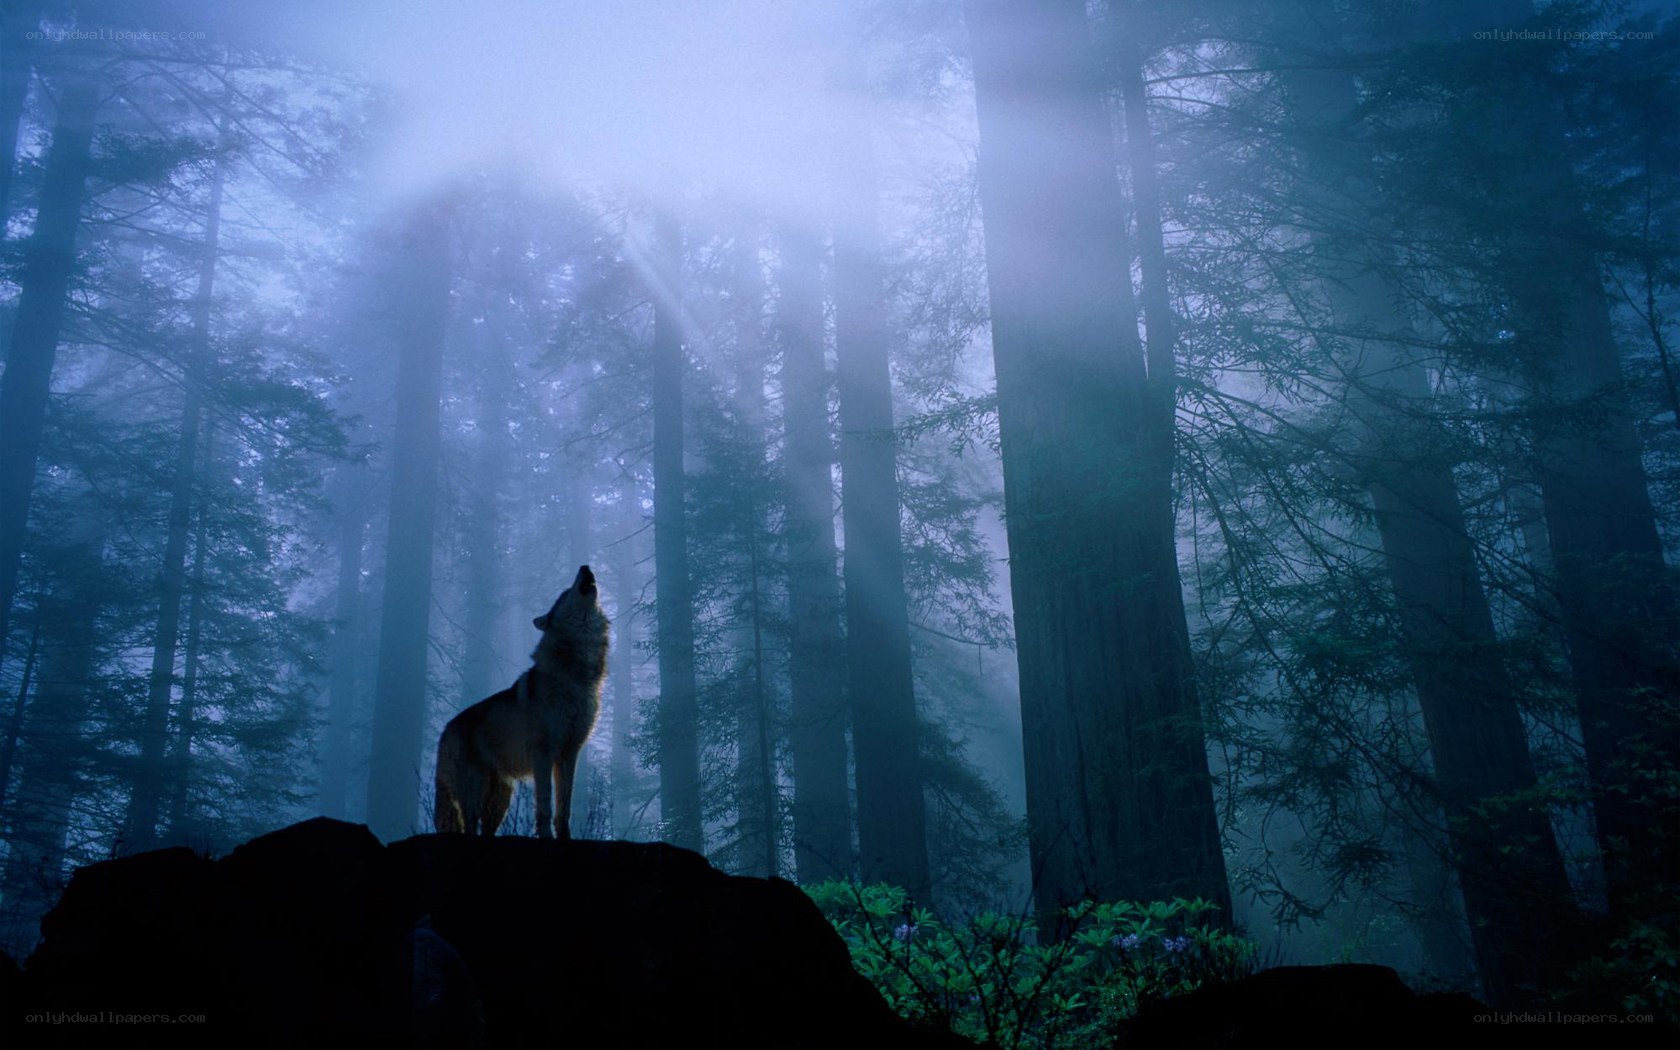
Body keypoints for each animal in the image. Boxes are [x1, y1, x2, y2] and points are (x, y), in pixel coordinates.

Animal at [433, 565, 610, 839]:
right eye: (565, 593)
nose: (585, 567)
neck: (575, 674)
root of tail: (446, 729)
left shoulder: (569, 753)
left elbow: (564, 808)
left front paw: (565, 838)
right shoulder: (543, 754)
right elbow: (545, 805)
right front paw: (546, 837)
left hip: (500, 800)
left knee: (485, 830)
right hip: (475, 792)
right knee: (470, 826)